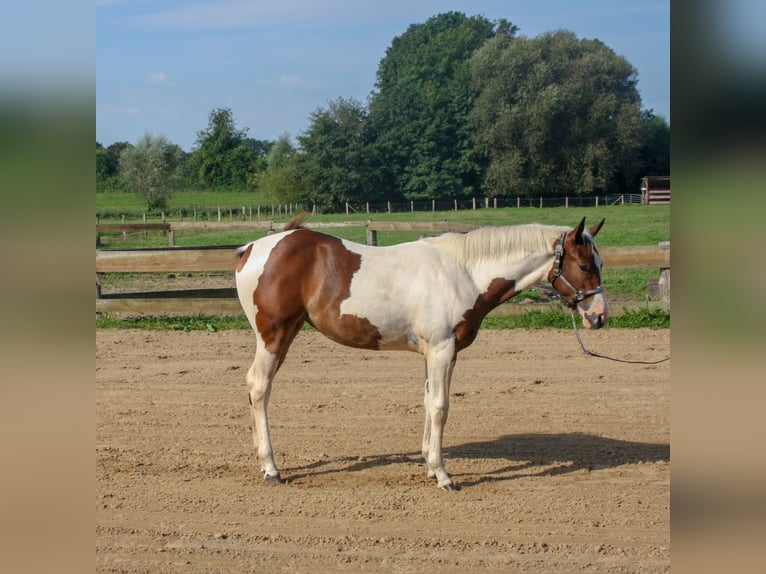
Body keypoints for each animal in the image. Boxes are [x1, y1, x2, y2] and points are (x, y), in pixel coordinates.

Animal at [237, 214, 608, 492]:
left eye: (599, 263)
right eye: (585, 266)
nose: (599, 316)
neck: (463, 273)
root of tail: (251, 248)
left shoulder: (438, 353)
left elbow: (429, 401)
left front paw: (430, 465)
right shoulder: (442, 349)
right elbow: (441, 407)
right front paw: (443, 476)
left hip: (288, 333)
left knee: (256, 389)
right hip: (273, 335)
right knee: (259, 386)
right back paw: (271, 468)